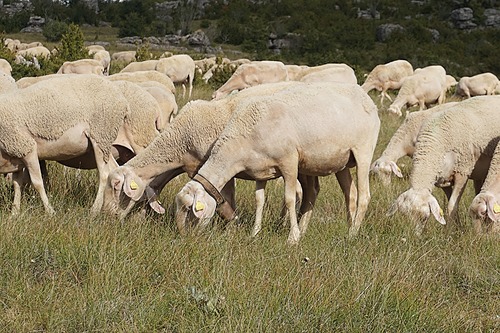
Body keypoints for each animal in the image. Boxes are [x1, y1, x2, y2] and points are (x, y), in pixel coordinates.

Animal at [175, 81, 378, 243]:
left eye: (189, 209)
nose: (185, 238)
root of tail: (365, 96)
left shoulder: (289, 161)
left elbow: (289, 199)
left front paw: (293, 238)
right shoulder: (259, 170)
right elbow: (259, 200)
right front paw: (255, 232)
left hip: (363, 151)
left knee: (364, 196)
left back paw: (352, 235)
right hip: (341, 160)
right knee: (350, 194)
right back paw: (349, 228)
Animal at [388, 94, 500, 233]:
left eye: (425, 218)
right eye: (403, 216)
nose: (411, 236)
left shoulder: (462, 172)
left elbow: (452, 205)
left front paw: (451, 232)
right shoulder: (442, 180)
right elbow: (449, 205)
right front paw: (454, 228)